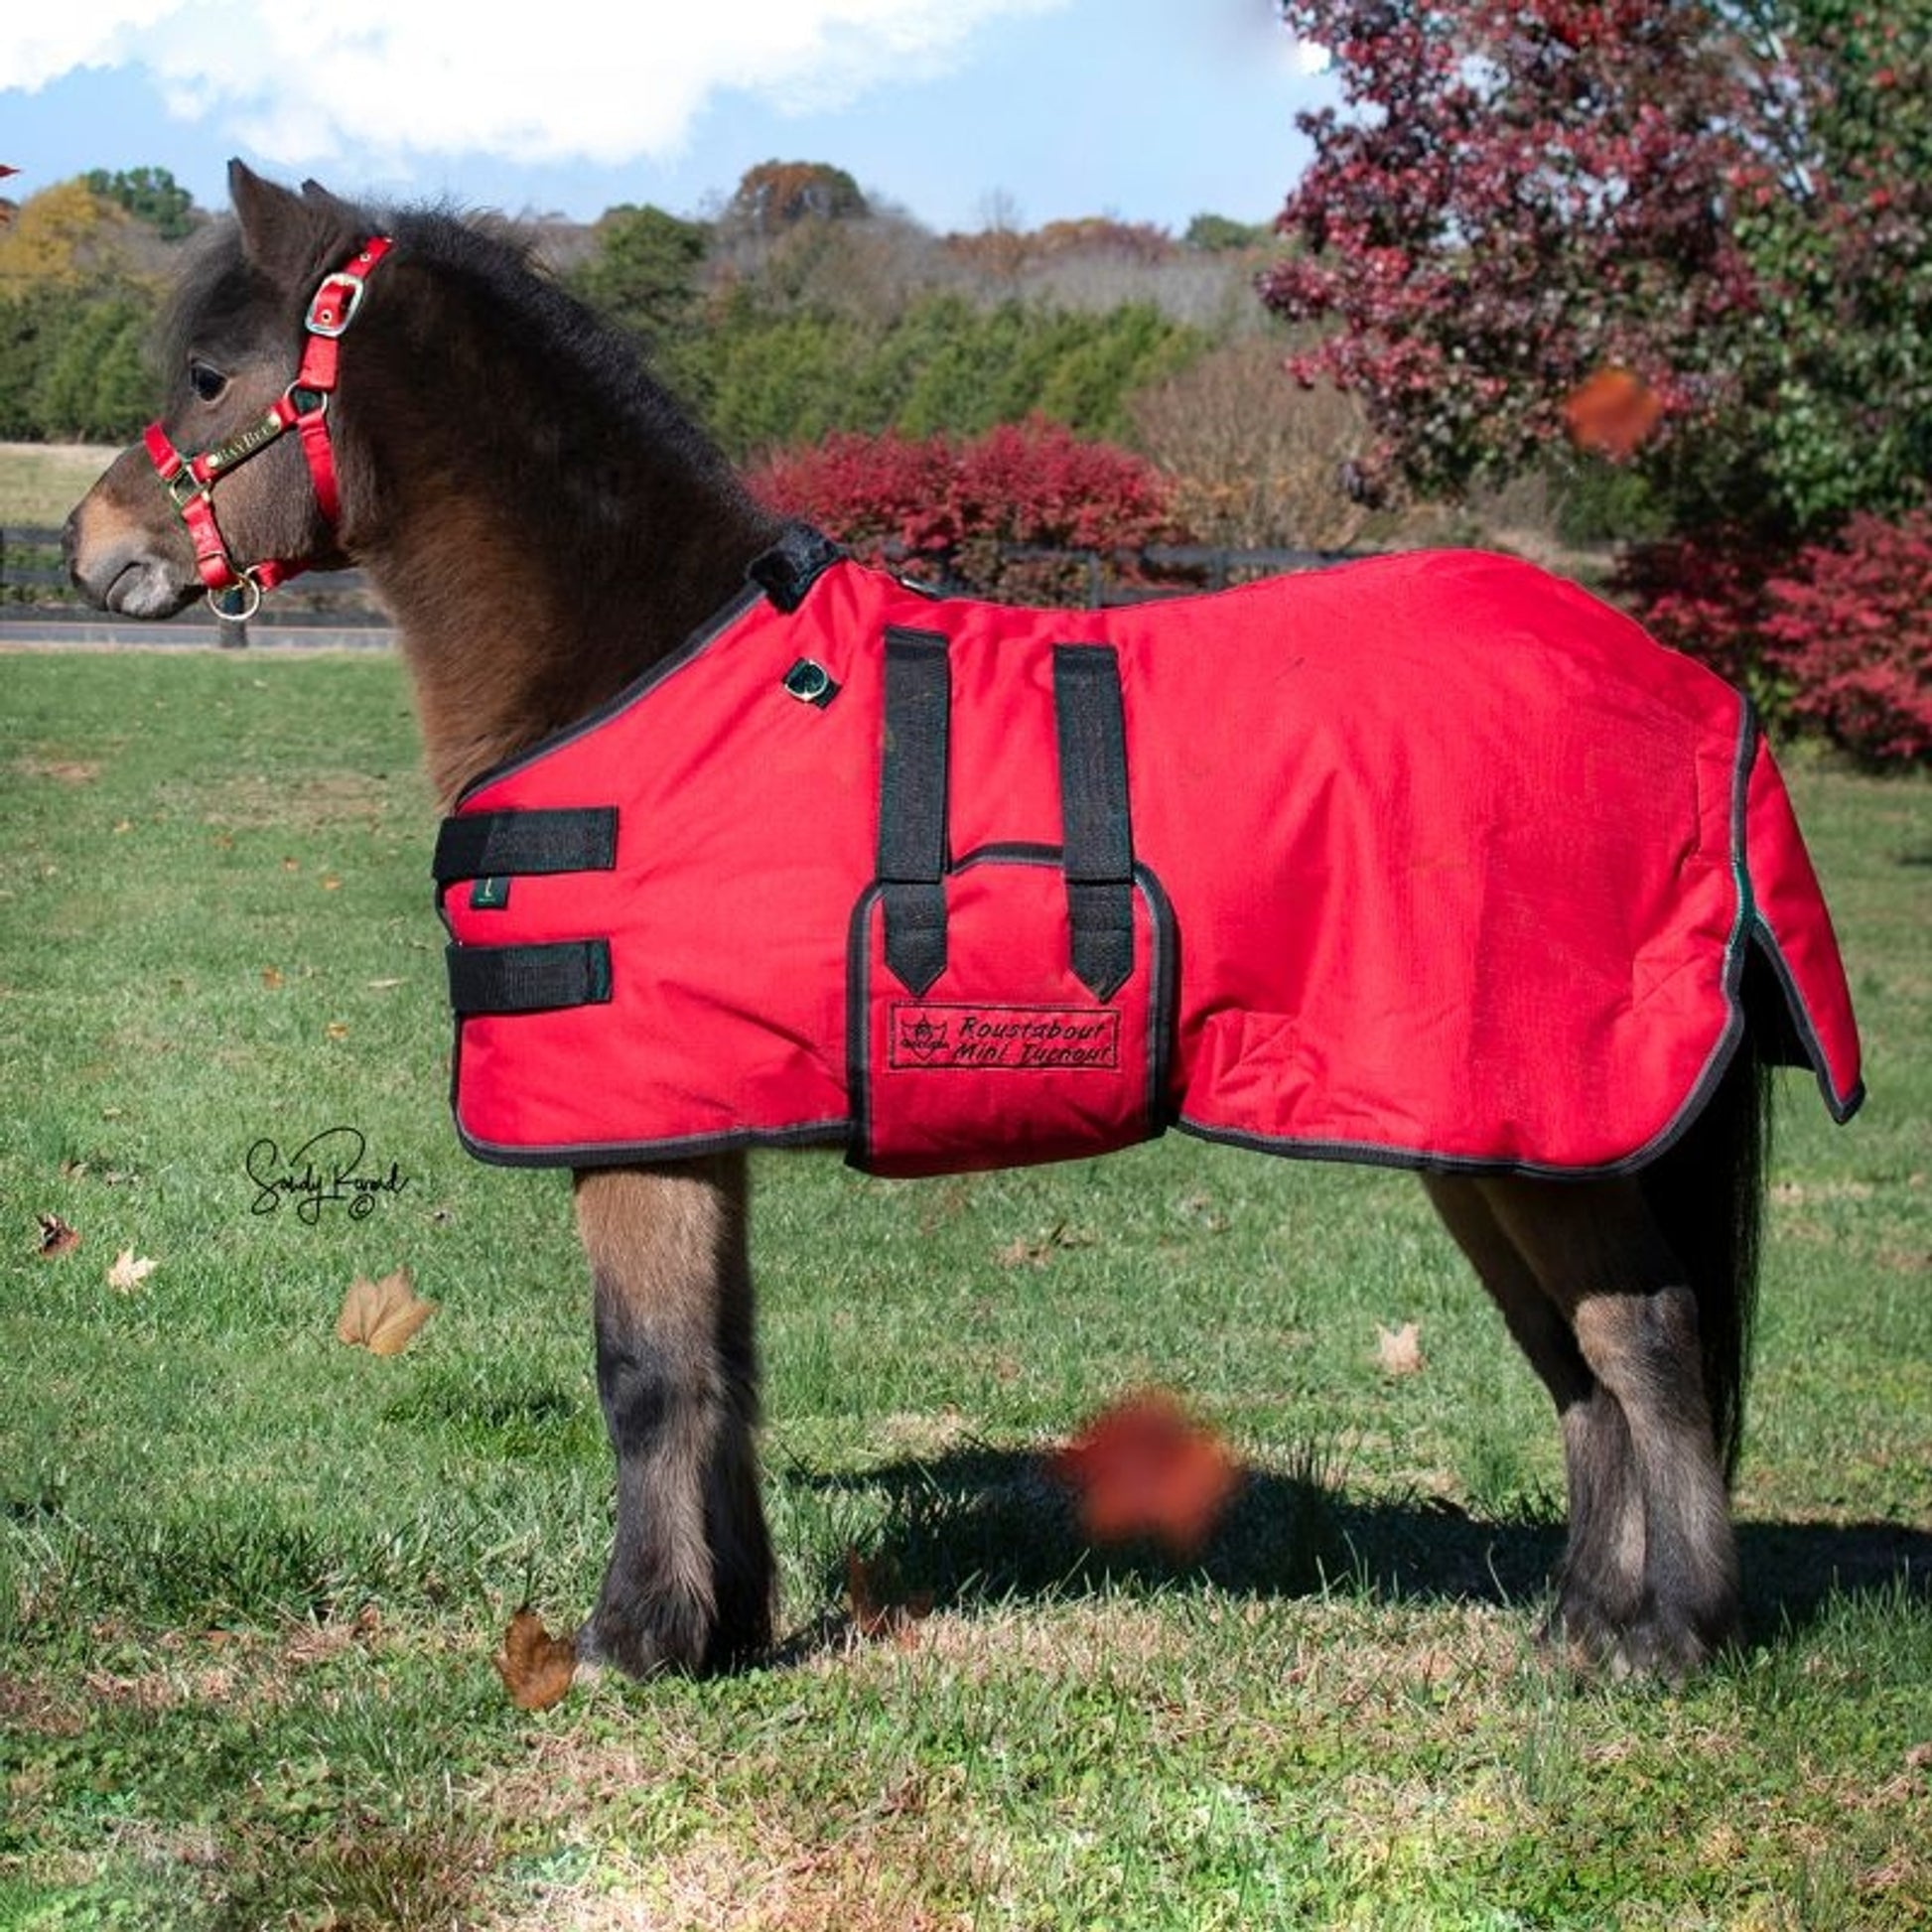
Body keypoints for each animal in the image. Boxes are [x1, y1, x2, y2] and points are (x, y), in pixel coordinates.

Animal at [65, 162, 1862, 1684]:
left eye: (213, 373)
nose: (91, 552)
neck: (639, 660)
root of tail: (1690, 695)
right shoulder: (700, 1122)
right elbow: (721, 1369)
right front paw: (726, 1624)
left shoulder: (637, 1129)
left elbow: (646, 1374)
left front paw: (629, 1641)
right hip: (1489, 1141)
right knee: (1578, 1368)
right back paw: (1578, 1625)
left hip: (1545, 1128)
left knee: (1645, 1346)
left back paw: (1667, 1639)